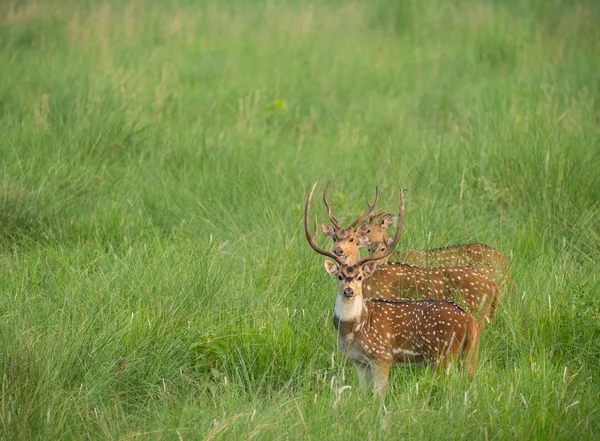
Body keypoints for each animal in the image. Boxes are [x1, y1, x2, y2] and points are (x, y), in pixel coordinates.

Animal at [304, 180, 478, 394]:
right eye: (340, 276)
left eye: (360, 277)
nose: (349, 291)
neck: (352, 330)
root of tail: (470, 321)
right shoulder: (359, 361)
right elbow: (364, 393)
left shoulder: (382, 356)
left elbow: (380, 394)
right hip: (469, 355)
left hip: (442, 355)